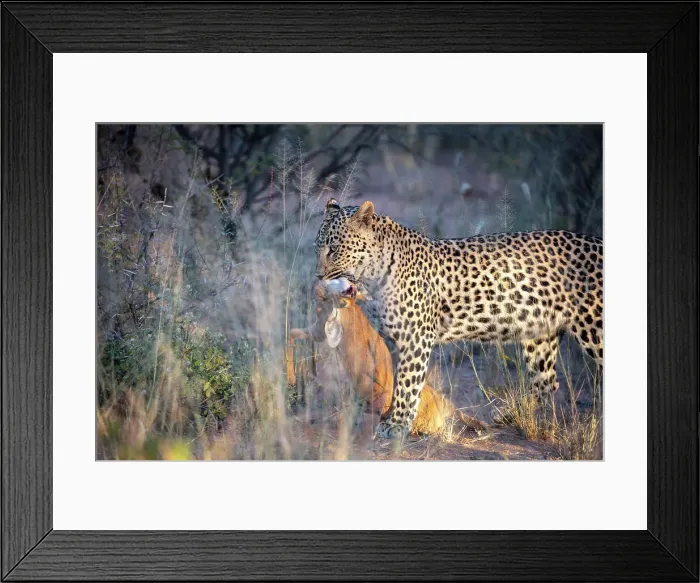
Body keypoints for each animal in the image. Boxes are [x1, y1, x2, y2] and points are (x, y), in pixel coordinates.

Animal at [313, 197, 603, 440]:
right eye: (317, 248)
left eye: (334, 249)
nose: (318, 276)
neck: (372, 276)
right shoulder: (395, 341)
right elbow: (397, 382)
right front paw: (391, 418)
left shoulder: (416, 337)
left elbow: (408, 384)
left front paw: (396, 426)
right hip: (539, 334)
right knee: (547, 382)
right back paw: (514, 418)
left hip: (594, 329)